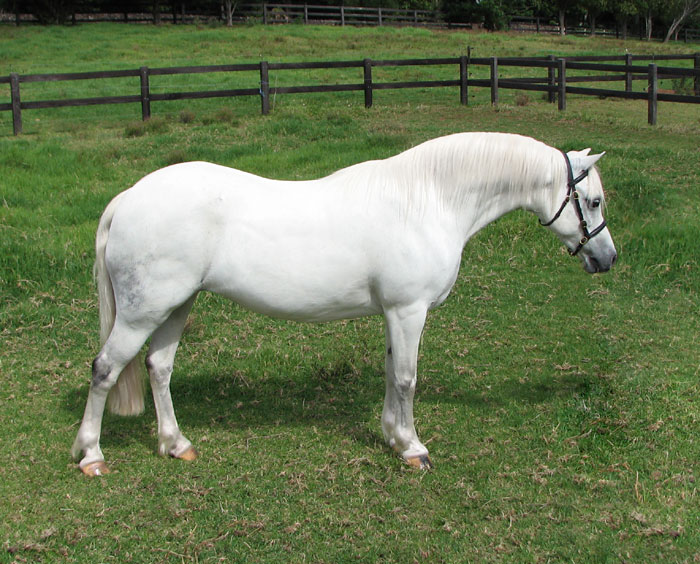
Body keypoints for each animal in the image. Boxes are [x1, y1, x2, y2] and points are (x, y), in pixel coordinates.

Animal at [71, 132, 617, 476]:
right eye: (592, 202)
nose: (607, 258)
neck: (428, 199)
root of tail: (128, 199)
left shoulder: (395, 314)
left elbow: (391, 372)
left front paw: (393, 437)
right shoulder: (408, 310)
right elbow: (407, 377)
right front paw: (413, 448)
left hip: (175, 306)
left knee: (159, 367)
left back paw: (175, 444)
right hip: (142, 312)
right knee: (104, 369)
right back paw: (91, 456)